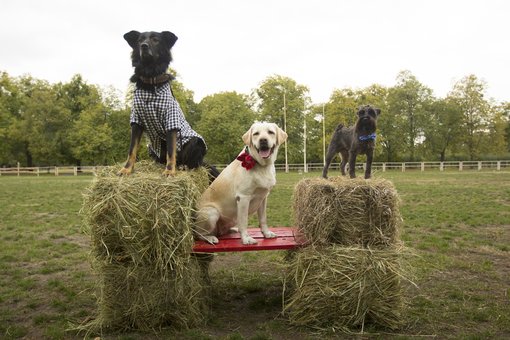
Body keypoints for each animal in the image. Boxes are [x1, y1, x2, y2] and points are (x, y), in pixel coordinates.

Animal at [119, 30, 217, 179]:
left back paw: (182, 168)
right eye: (140, 40)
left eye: (155, 40)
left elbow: (171, 151)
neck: (151, 80)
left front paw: (170, 171)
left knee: (190, 163)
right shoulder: (136, 121)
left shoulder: (171, 121)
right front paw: (126, 169)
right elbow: (132, 150)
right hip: (151, 148)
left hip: (196, 142)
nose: (143, 46)